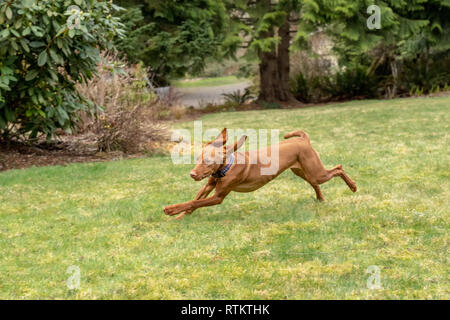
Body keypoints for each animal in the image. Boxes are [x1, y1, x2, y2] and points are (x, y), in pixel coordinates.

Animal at [163, 128, 356, 220]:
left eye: (209, 162)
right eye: (197, 158)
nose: (192, 174)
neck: (226, 168)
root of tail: (303, 139)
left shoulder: (218, 197)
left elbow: (194, 203)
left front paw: (170, 210)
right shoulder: (209, 185)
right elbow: (193, 202)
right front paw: (179, 216)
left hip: (316, 172)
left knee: (338, 168)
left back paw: (353, 186)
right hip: (303, 172)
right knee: (315, 183)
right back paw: (320, 199)